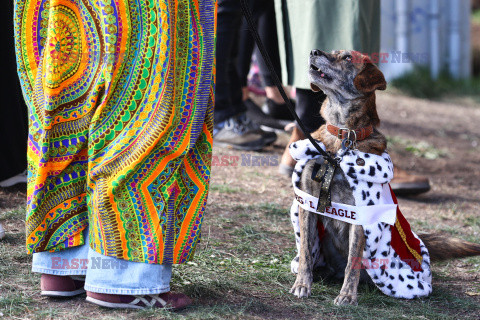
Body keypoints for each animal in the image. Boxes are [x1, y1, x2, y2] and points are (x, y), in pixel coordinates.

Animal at [288, 50, 480, 304]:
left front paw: (347, 295)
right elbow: (306, 252)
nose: (314, 52)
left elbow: (353, 261)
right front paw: (302, 284)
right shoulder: (308, 206)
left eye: (347, 57)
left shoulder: (360, 215)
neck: (343, 136)